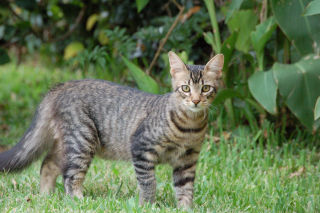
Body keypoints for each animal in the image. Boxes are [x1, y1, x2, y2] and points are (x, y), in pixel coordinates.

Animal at [0, 51, 224, 208]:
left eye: (205, 88)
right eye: (185, 88)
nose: (196, 100)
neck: (189, 127)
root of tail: (62, 85)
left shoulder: (187, 160)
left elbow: (185, 190)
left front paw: (185, 208)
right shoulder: (141, 148)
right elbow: (149, 183)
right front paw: (148, 205)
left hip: (70, 143)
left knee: (47, 164)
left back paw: (46, 197)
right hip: (82, 141)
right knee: (70, 177)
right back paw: (79, 200)